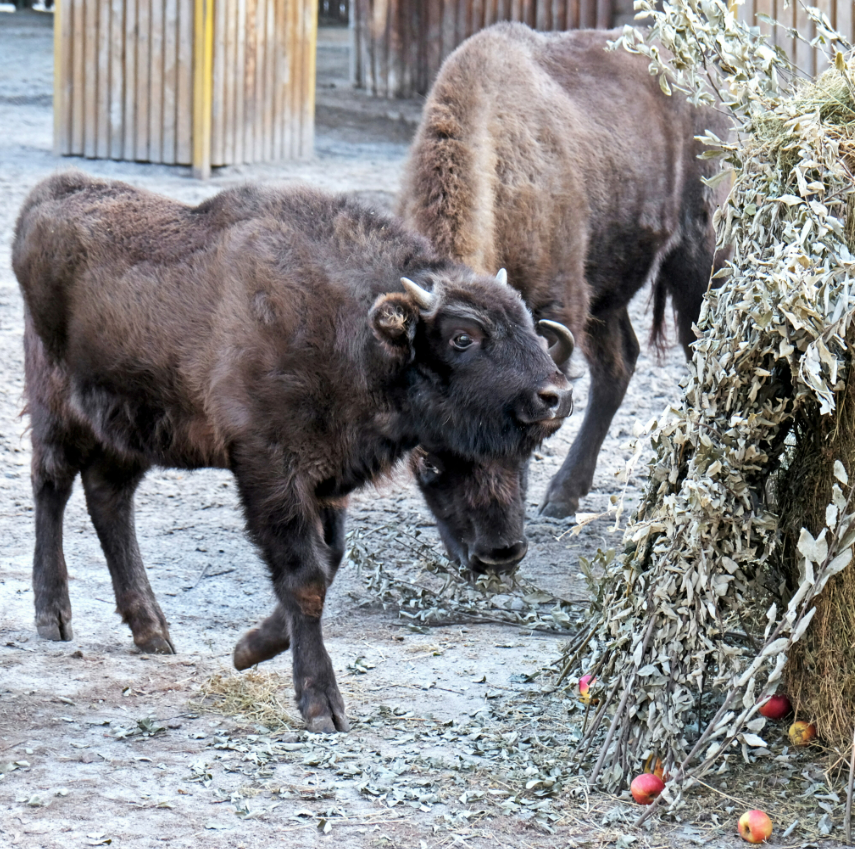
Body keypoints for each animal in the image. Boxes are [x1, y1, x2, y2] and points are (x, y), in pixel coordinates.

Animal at [11, 171, 576, 728]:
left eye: (526, 323)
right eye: (462, 337)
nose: (556, 395)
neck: (353, 329)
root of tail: (41, 201)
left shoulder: (328, 478)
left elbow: (329, 560)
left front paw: (248, 648)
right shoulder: (271, 469)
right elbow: (305, 575)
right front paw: (320, 703)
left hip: (130, 429)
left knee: (109, 499)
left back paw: (152, 630)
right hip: (57, 405)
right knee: (51, 485)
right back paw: (53, 615)